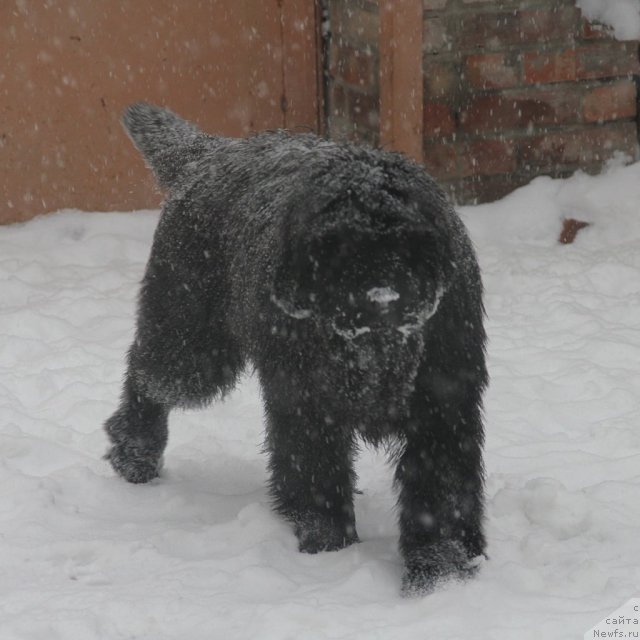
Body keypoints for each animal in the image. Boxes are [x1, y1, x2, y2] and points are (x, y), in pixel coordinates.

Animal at [105, 102, 488, 596]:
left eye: (407, 242)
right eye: (334, 245)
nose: (377, 302)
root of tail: (208, 154)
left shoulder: (442, 406)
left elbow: (440, 494)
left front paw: (441, 573)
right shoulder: (307, 402)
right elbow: (315, 473)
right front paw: (328, 549)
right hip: (192, 349)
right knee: (147, 374)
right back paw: (135, 451)